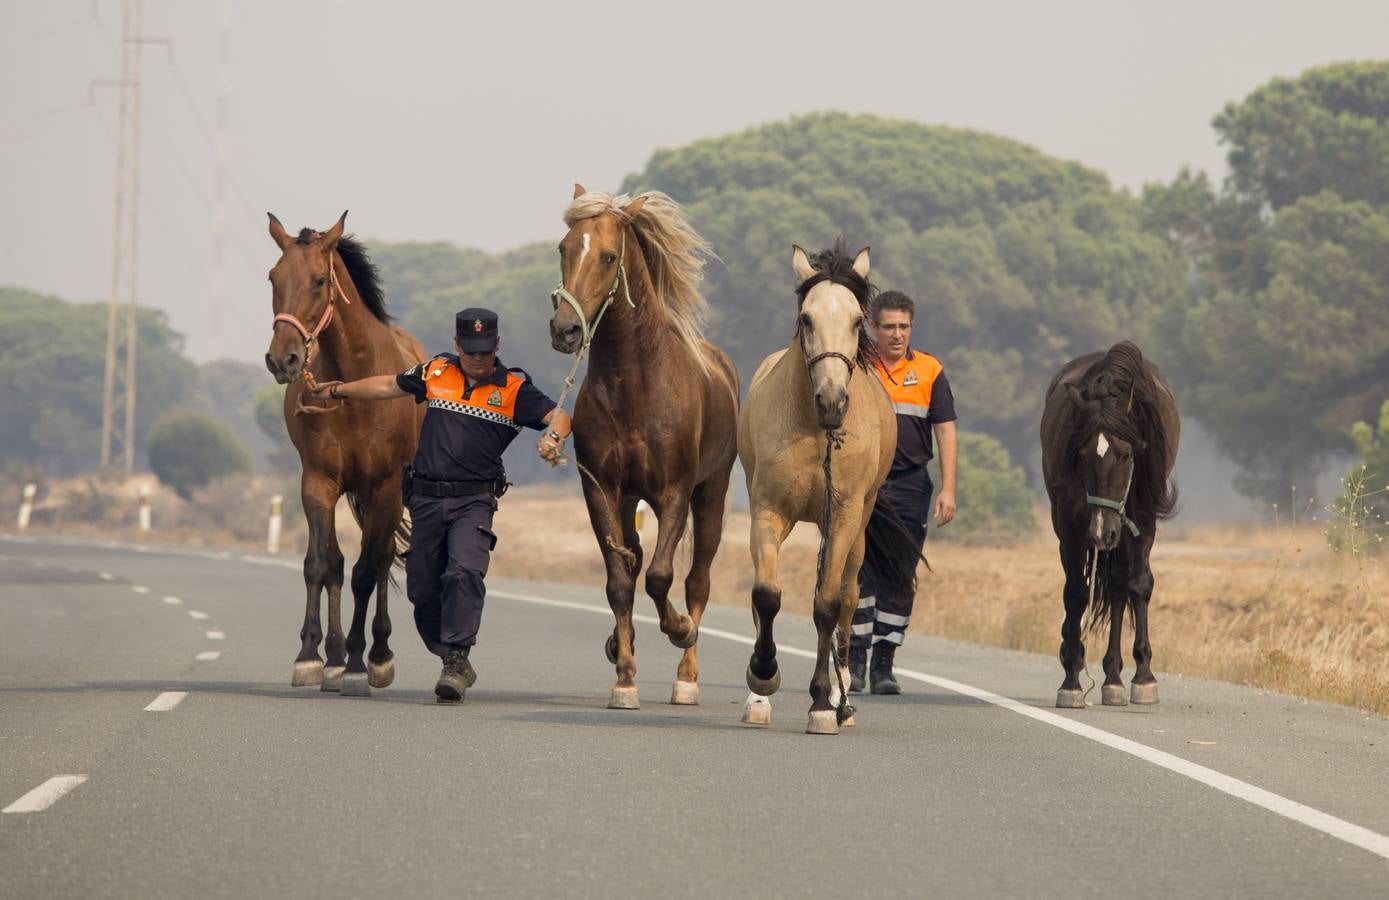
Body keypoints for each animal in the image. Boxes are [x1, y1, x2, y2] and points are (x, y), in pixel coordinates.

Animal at [265, 211, 422, 697]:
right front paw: (311, 657)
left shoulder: (385, 487)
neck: (354, 388)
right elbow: (321, 564)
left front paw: (358, 663)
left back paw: (377, 656)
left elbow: (367, 571)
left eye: (319, 281)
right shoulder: (318, 481)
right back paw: (333, 657)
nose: (282, 360)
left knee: (383, 559)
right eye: (273, 277)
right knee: (336, 563)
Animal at [544, 186, 744, 711]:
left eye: (609, 256)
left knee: (697, 577)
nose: (565, 330)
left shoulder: (674, 493)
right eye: (564, 249)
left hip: (712, 493)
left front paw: (679, 629)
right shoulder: (602, 491)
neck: (635, 381)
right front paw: (625, 676)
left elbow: (660, 576)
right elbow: (619, 581)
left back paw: (687, 675)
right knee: (632, 561)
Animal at [738, 243, 922, 733]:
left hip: (858, 528)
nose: (833, 401)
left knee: (848, 599)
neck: (813, 427)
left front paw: (822, 703)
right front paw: (762, 677)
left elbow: (826, 604)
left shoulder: (842, 513)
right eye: (806, 318)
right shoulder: (768, 510)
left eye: (858, 320)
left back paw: (843, 703)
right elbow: (766, 595)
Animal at [1044, 341, 1183, 705]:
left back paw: (1113, 677)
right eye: (1081, 455)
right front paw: (1071, 680)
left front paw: (1144, 677)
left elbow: (1139, 584)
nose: (1101, 533)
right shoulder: (1070, 524)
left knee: (1120, 587)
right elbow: (1075, 593)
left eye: (1126, 454)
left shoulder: (1143, 520)